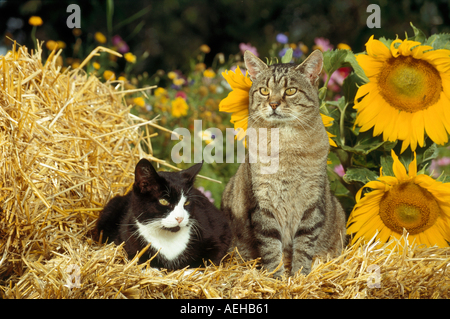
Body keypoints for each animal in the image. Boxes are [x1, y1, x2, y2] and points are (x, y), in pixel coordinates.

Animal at [94, 159, 230, 272]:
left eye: (186, 202)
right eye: (164, 201)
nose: (180, 218)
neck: (167, 237)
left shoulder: (219, 230)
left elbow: (211, 258)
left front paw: (190, 271)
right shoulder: (125, 240)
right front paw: (152, 270)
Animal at [221, 49, 348, 278]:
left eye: (290, 91)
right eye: (264, 90)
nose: (273, 104)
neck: (286, 147)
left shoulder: (312, 202)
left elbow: (305, 244)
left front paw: (299, 276)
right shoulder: (263, 203)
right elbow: (271, 247)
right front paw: (278, 278)